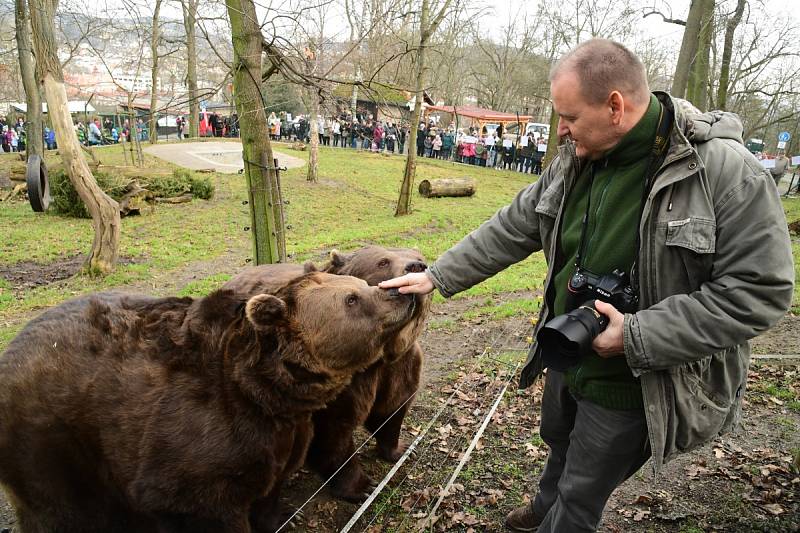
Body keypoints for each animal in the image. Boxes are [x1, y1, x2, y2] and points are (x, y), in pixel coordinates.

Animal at [0, 272, 412, 528]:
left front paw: (279, 517)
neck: (266, 393)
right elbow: (204, 505)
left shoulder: (277, 436)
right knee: (64, 511)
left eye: (361, 285)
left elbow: (270, 490)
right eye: (352, 298)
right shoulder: (196, 444)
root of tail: (10, 351)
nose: (398, 293)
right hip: (51, 444)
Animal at [222, 247, 428, 500]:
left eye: (420, 258)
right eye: (382, 262)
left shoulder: (399, 368)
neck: (379, 356)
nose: (416, 266)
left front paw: (400, 449)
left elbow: (392, 410)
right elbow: (332, 436)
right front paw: (361, 486)